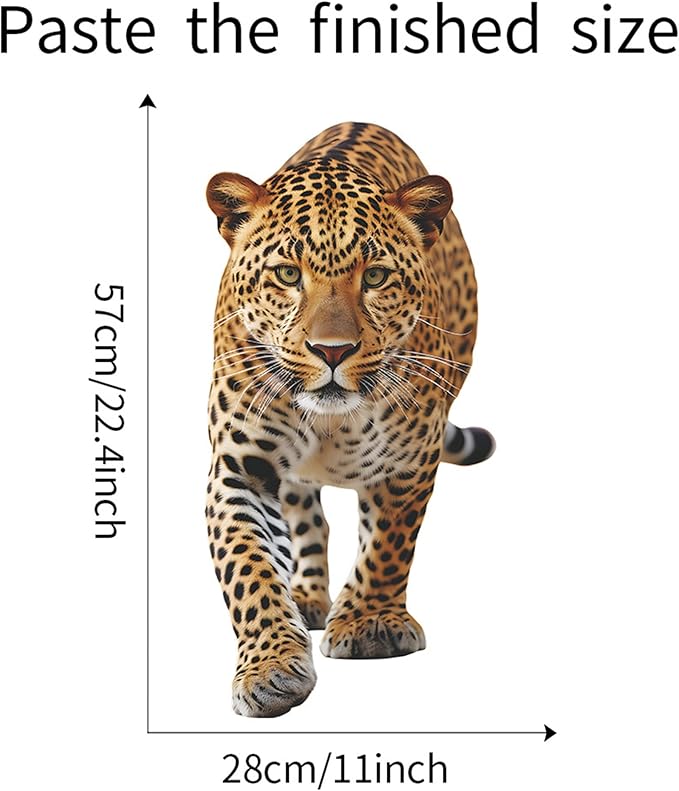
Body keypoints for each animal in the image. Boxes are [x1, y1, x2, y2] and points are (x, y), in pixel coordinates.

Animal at [205, 122, 494, 718]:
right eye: (287, 274)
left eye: (376, 276)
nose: (331, 351)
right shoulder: (240, 469)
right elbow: (249, 569)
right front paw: (269, 668)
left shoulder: (411, 460)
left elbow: (388, 543)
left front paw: (370, 624)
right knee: (307, 520)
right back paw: (307, 596)